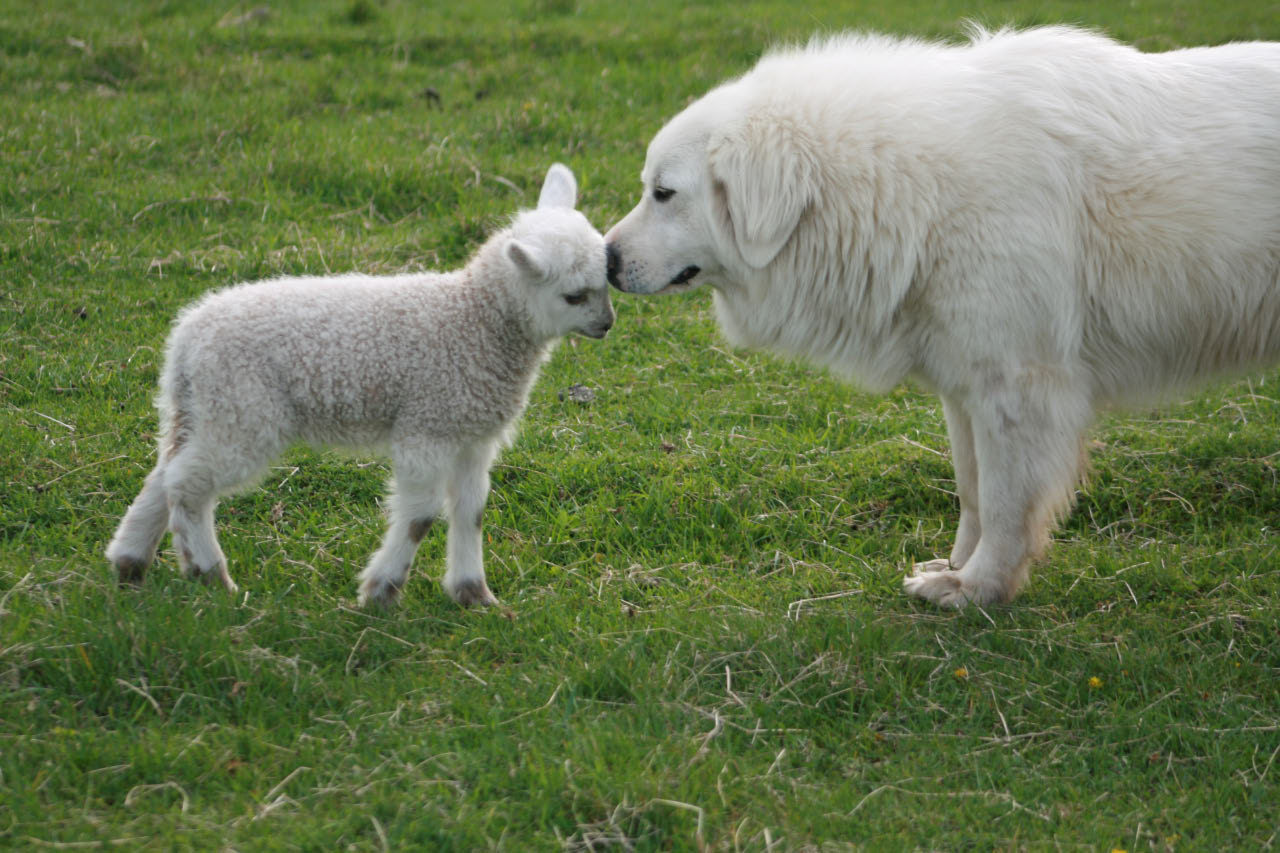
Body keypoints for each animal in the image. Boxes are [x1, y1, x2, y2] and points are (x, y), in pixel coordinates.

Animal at [105, 164, 614, 607]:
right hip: (243, 412)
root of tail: (186, 340)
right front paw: (382, 591)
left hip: (203, 409)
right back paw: (209, 574)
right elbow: (420, 516)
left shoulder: (472, 434)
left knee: (164, 473)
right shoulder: (426, 427)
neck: (476, 319)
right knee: (188, 484)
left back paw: (130, 560)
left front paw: (473, 595)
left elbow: (471, 510)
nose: (608, 324)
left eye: (608, 281)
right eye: (574, 296)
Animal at [605, 26, 1280, 607]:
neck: (906, 183)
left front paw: (979, 588)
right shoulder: (967, 388)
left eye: (663, 193)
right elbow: (973, 491)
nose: (605, 259)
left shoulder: (1019, 390)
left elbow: (1005, 504)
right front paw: (956, 568)